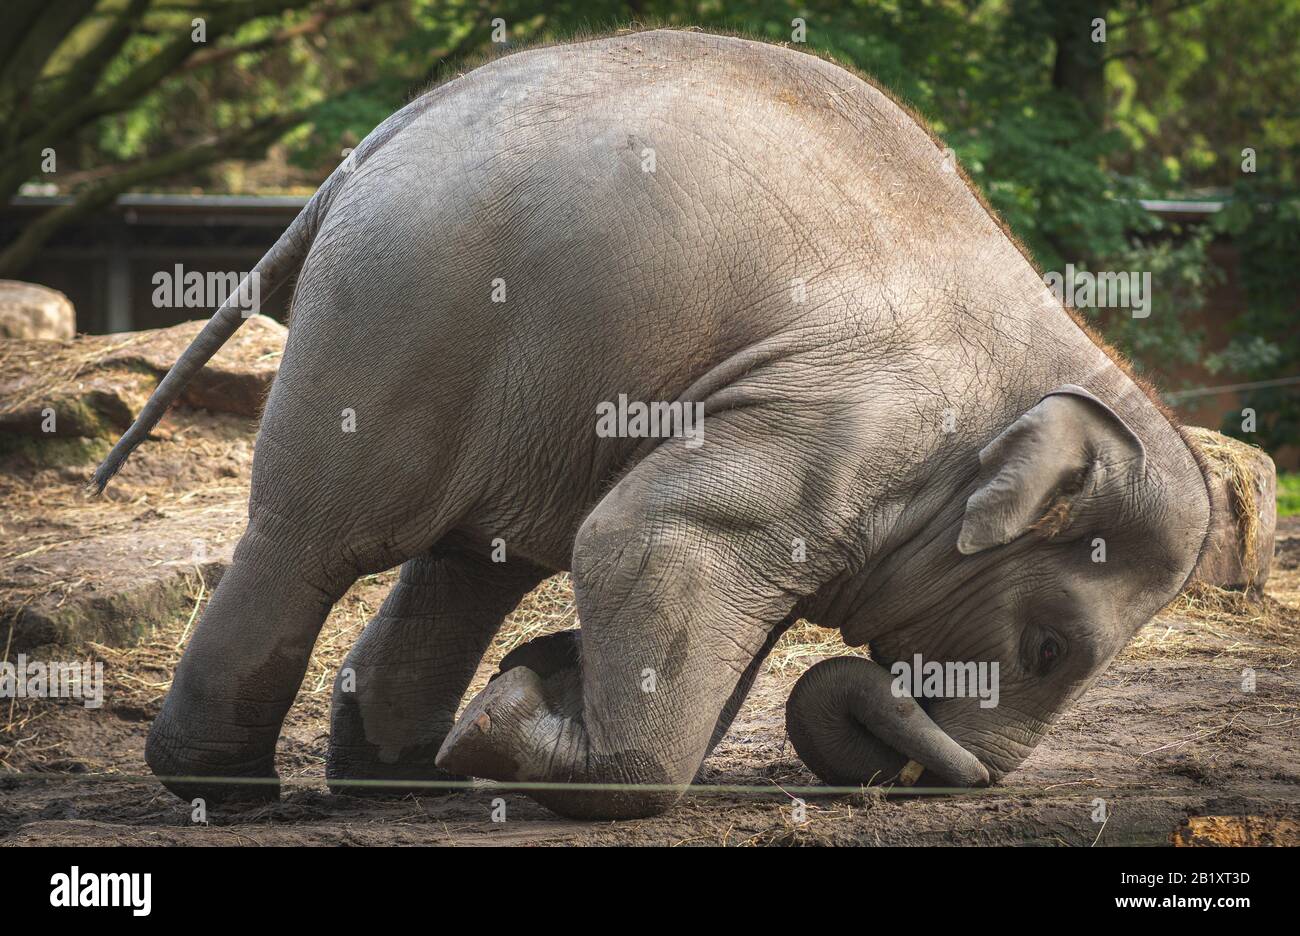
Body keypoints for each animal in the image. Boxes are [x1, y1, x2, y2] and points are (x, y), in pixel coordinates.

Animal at [91, 29, 1206, 821]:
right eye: (1051, 650)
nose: (943, 776)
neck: (1051, 362)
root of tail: (374, 146)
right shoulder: (852, 416)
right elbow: (660, 536)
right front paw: (521, 712)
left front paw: (540, 691)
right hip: (405, 313)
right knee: (320, 538)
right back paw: (231, 793)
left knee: (468, 565)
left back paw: (407, 781)